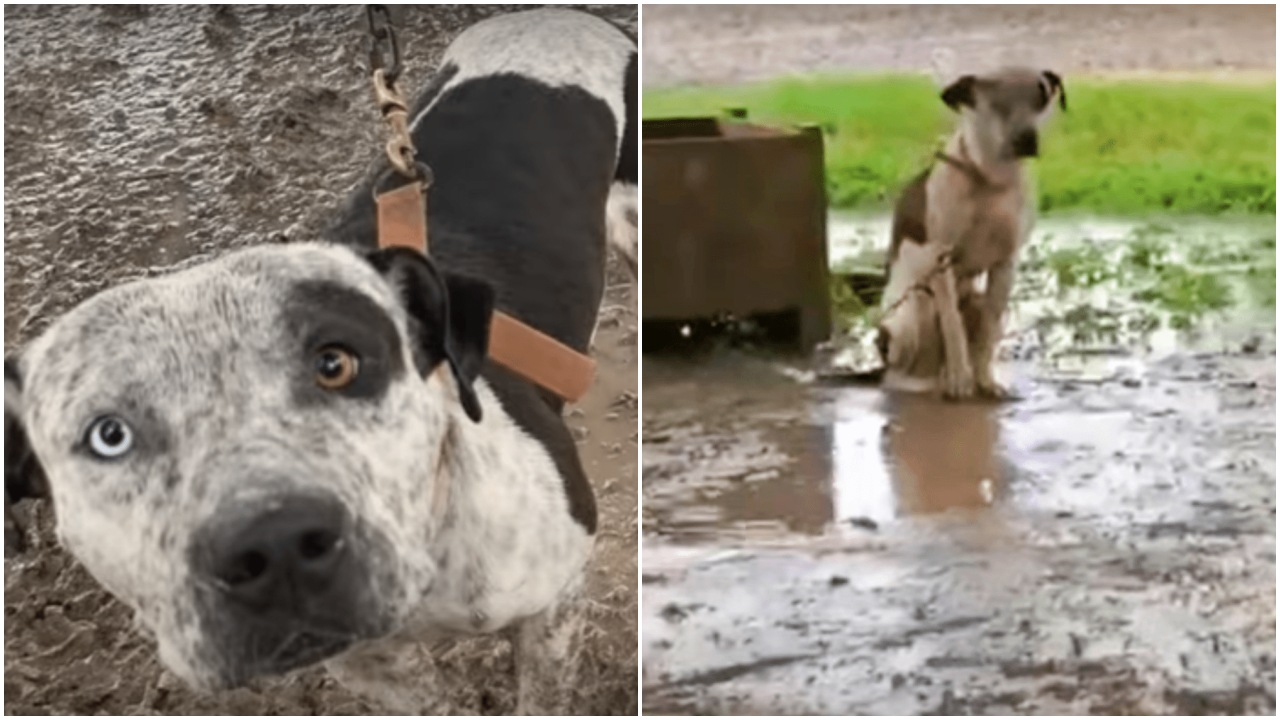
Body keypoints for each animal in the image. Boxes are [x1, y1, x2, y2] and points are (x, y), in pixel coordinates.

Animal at [875, 67, 1064, 397]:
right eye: (998, 103)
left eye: (1040, 98)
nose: (1027, 138)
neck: (991, 179)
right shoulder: (941, 260)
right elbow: (953, 327)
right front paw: (962, 381)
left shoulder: (1006, 264)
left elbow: (986, 333)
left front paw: (985, 381)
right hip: (908, 316)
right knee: (901, 368)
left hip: (975, 302)